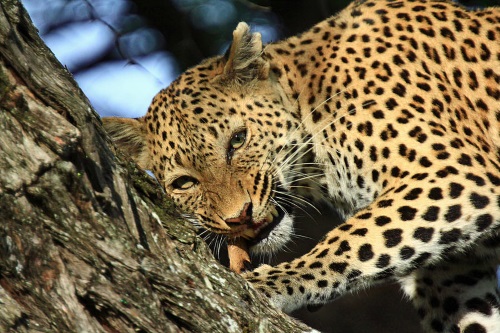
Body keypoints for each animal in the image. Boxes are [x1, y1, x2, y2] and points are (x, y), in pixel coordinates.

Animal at [101, 0, 500, 330]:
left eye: (237, 140)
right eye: (184, 183)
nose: (238, 217)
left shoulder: (453, 171)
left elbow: (351, 241)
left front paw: (272, 283)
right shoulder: (452, 274)